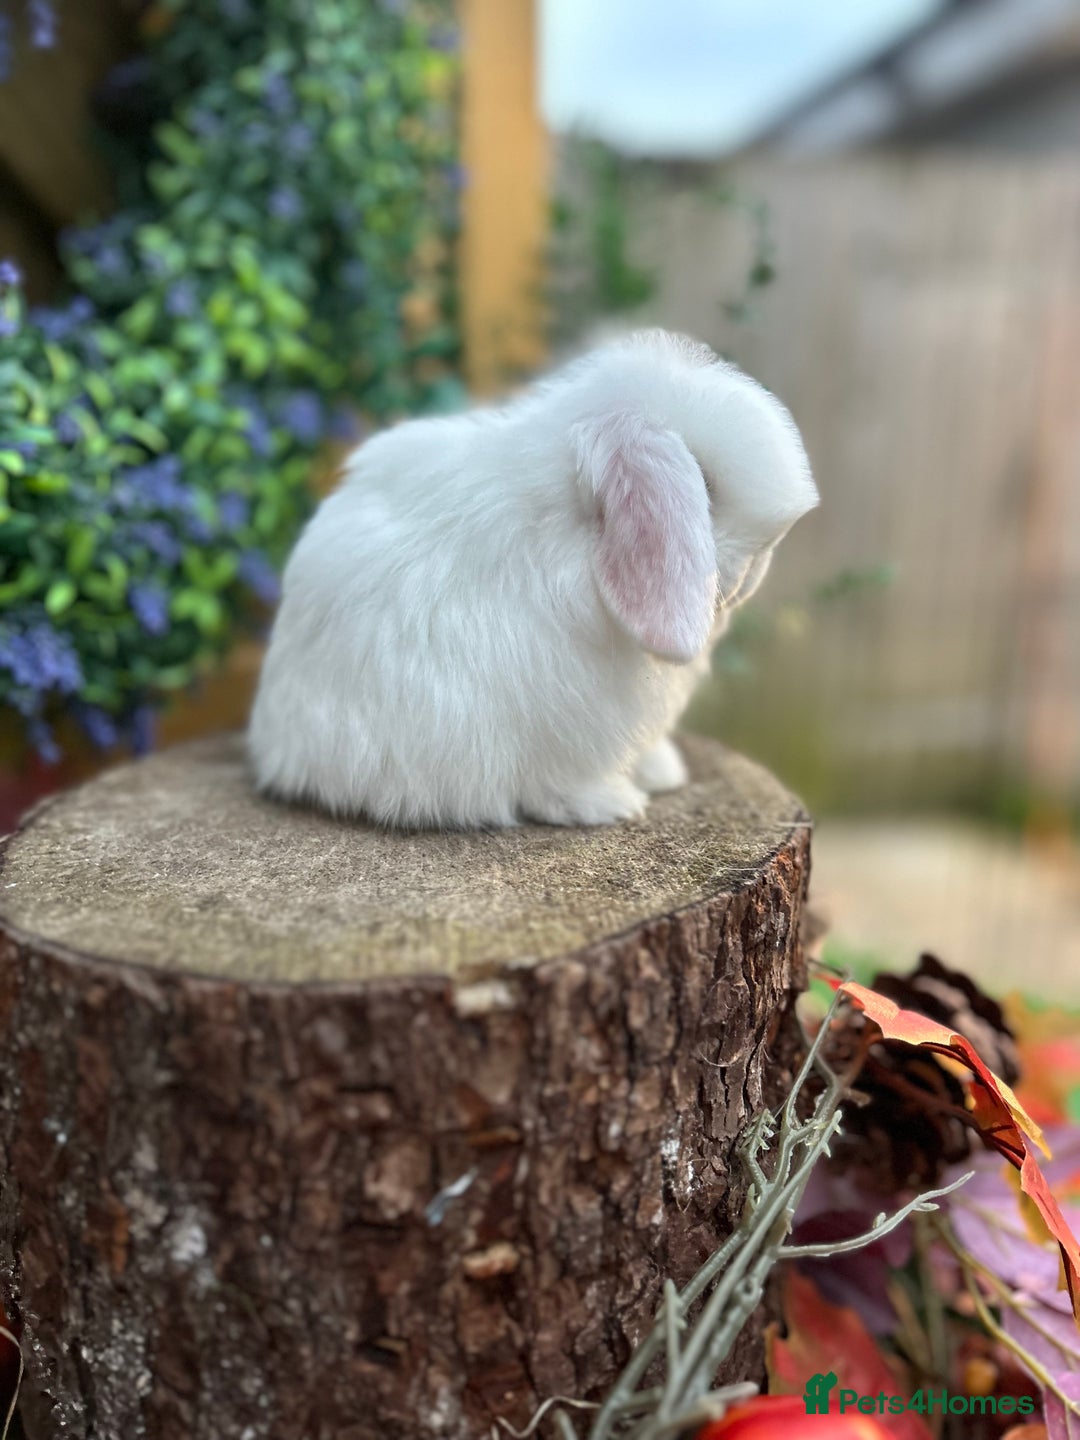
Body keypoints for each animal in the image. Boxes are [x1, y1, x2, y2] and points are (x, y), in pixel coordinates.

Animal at [248, 329, 818, 829]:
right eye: (706, 487)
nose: (756, 572)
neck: (567, 539)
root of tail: (273, 747)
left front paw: (661, 773)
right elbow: (560, 781)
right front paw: (613, 804)